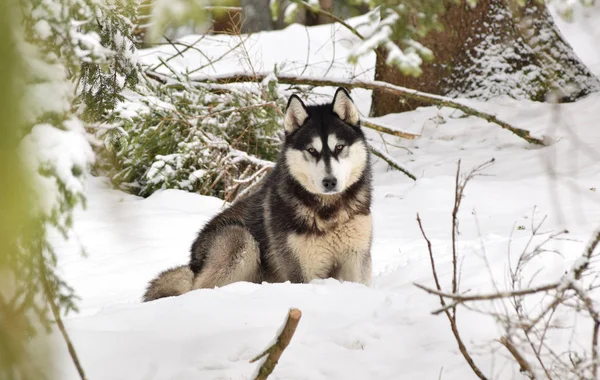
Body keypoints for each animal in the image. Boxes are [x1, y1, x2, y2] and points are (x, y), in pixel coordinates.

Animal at [143, 87, 372, 302]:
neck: (328, 210)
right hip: (239, 239)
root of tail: (194, 255)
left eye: (339, 147)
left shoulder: (356, 258)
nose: (330, 181)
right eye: (312, 150)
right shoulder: (300, 268)